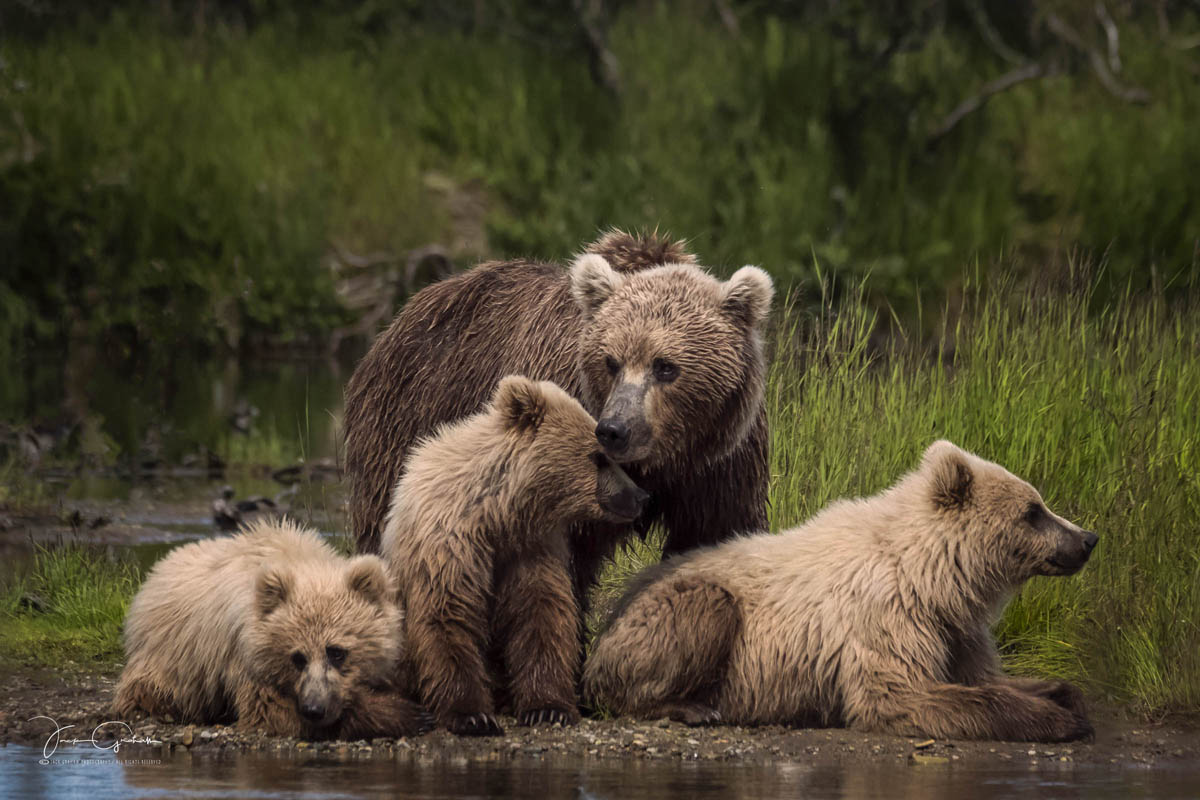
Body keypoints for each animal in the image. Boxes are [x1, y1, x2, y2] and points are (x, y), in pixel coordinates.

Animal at [343, 230, 772, 599]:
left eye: (665, 366)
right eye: (611, 361)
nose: (615, 430)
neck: (662, 460)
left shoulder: (719, 465)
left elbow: (716, 534)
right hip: (406, 425)